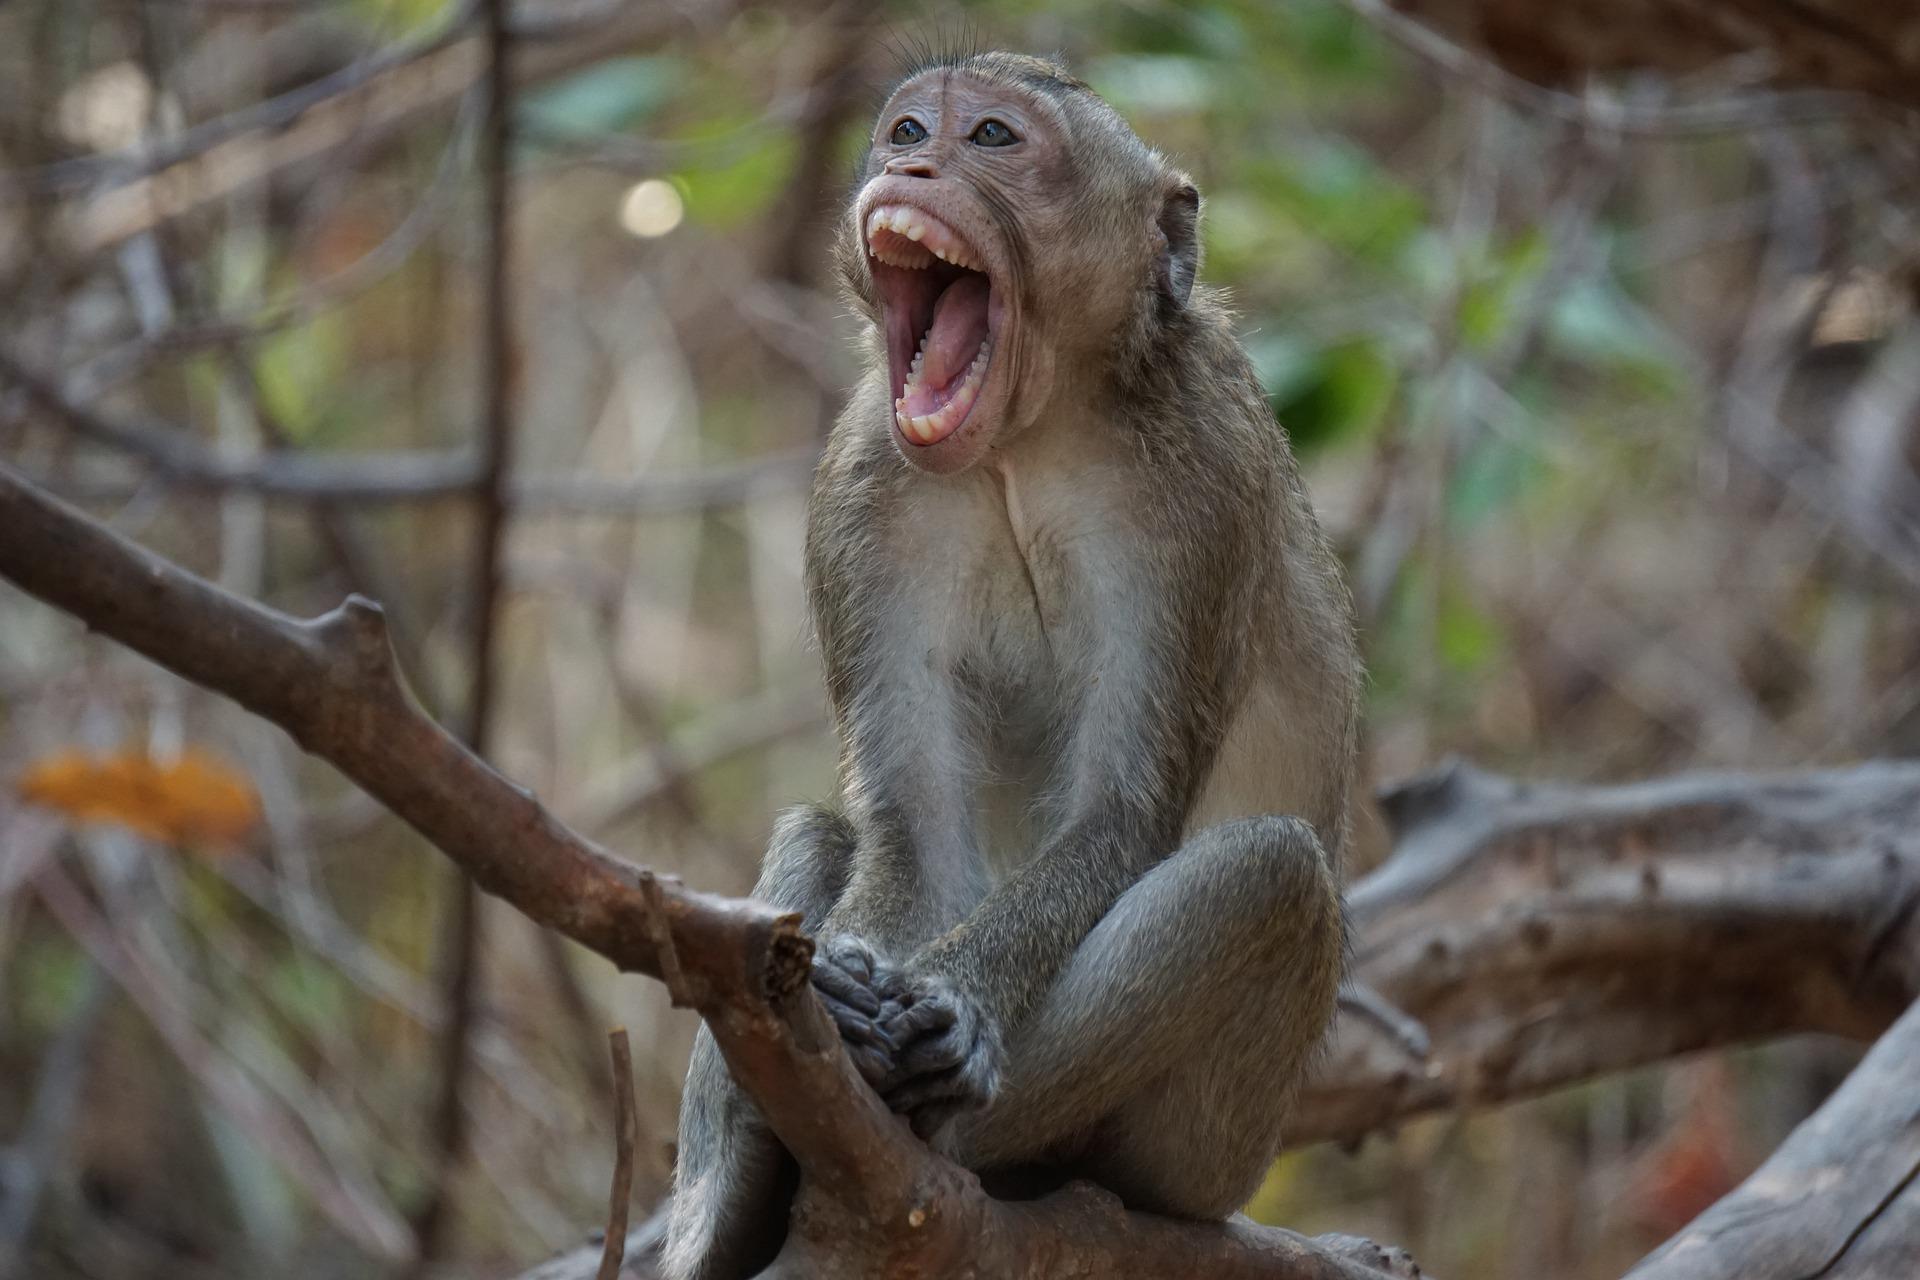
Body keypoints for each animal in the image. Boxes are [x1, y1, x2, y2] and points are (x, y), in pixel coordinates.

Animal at [668, 50, 1359, 1280]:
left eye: (992, 136)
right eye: (906, 128)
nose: (911, 166)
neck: (1027, 438)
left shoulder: (1205, 481)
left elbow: (1121, 812)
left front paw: (951, 1005)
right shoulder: (861, 483)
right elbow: (910, 826)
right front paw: (845, 992)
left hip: (1214, 1146)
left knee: (1267, 872)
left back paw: (941, 1115)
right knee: (818, 835)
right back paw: (747, 1168)